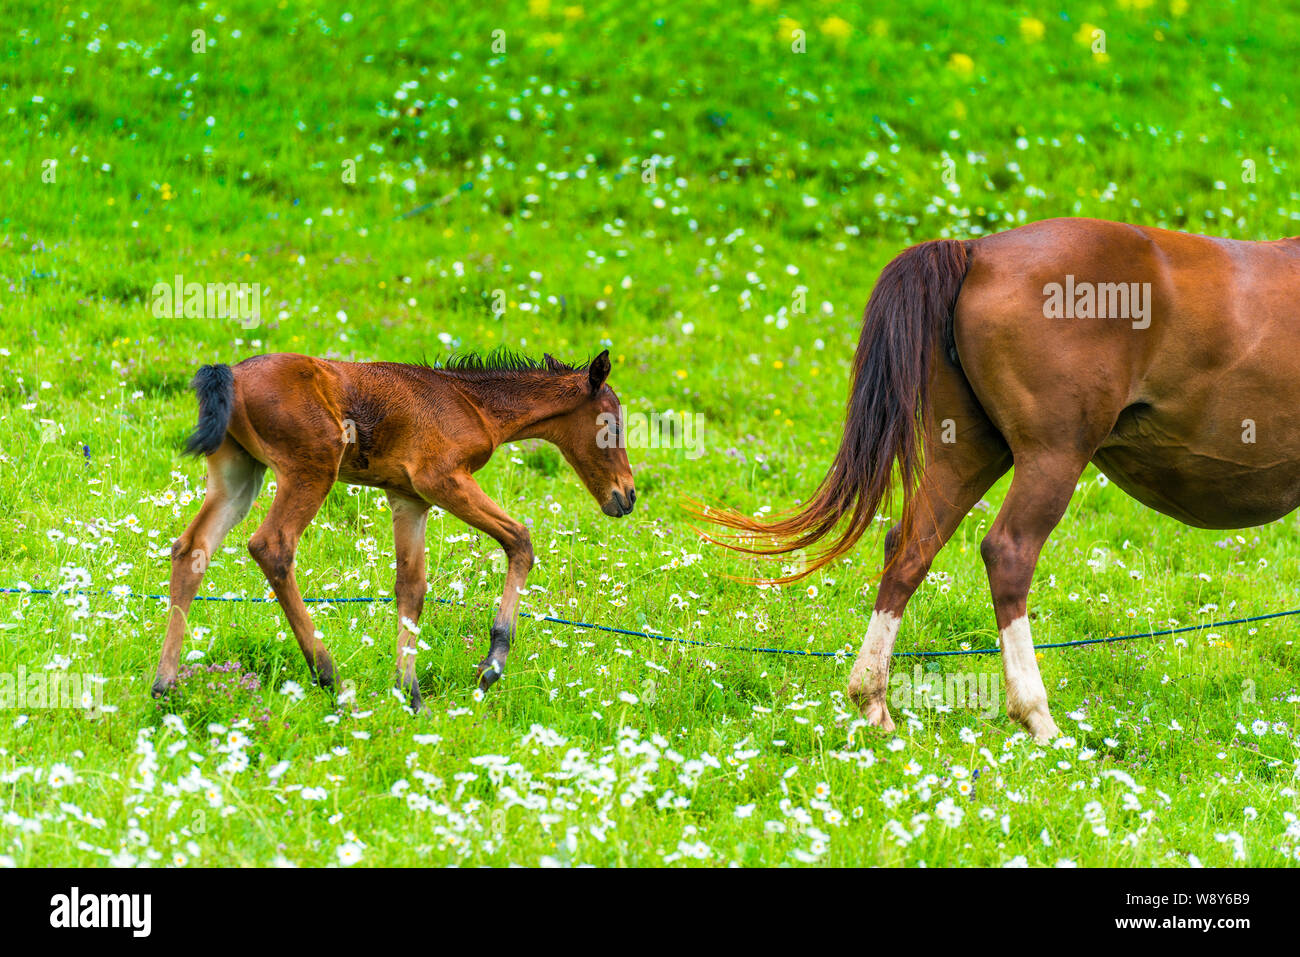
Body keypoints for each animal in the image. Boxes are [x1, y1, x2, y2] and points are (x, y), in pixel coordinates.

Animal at [151, 349, 636, 711]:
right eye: (611, 424)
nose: (627, 496)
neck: (473, 403)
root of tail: (231, 373)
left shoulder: (409, 498)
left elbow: (411, 587)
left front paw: (411, 695)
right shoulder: (441, 480)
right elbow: (519, 538)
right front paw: (491, 665)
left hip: (237, 472)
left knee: (191, 549)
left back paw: (165, 686)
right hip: (311, 468)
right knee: (272, 546)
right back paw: (332, 680)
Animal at [698, 216, 1300, 741]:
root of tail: (977, 250)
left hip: (966, 454)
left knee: (909, 548)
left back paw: (874, 701)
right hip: (1052, 457)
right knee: (1008, 552)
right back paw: (1036, 715)